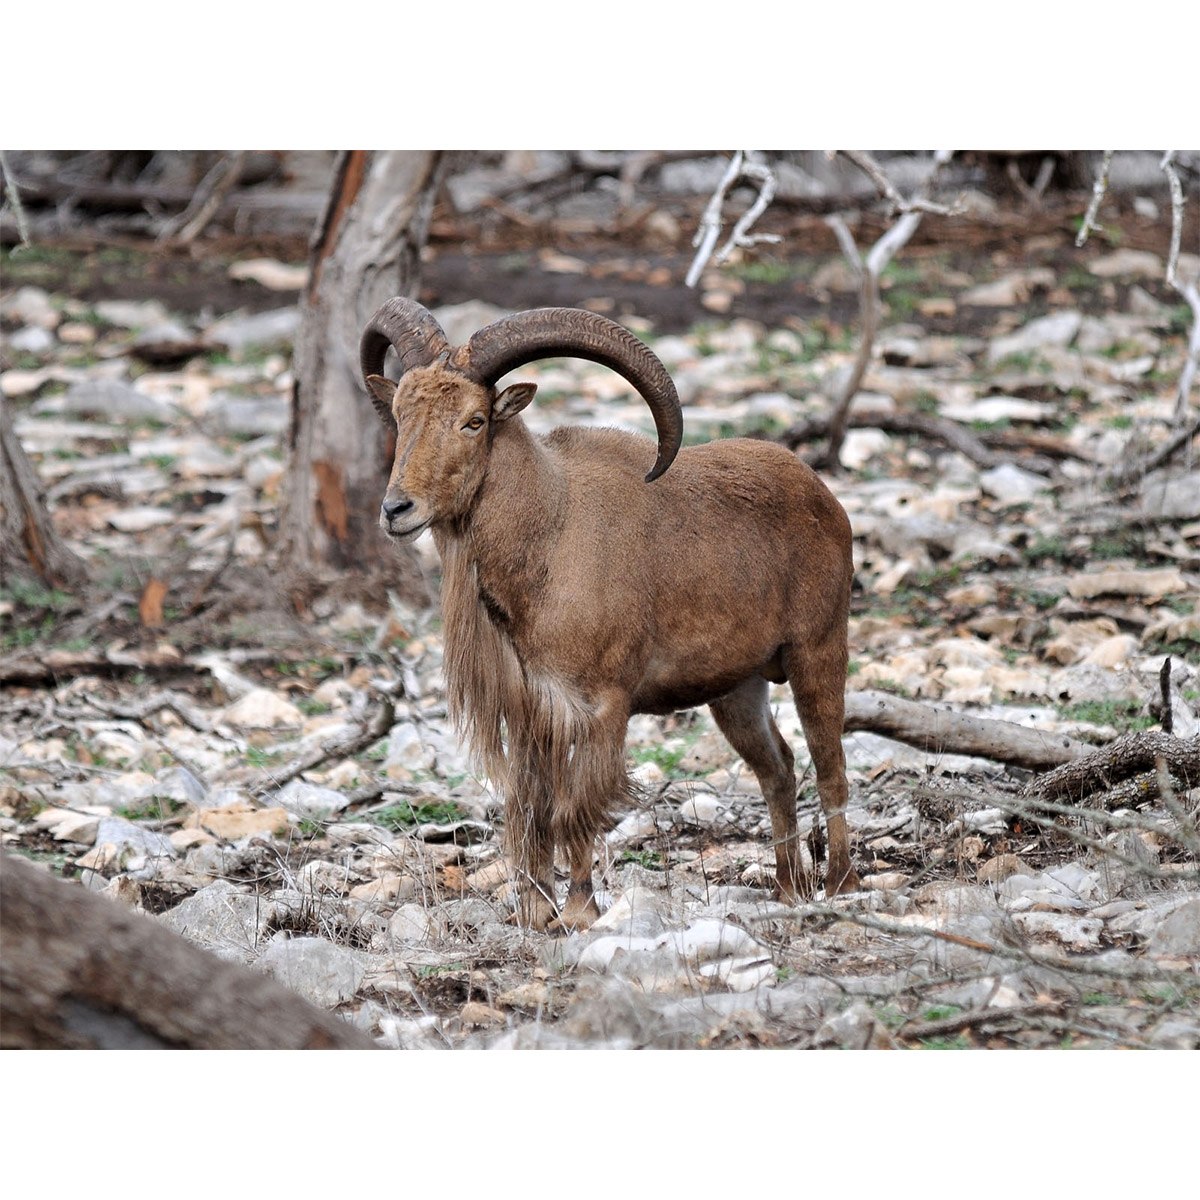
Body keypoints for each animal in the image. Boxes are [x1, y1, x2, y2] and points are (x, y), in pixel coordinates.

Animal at [360, 297, 859, 926]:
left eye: (473, 421)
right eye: (401, 415)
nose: (396, 509)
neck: (548, 534)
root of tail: (824, 497)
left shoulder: (601, 707)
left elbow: (575, 808)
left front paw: (577, 910)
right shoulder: (531, 712)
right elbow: (529, 807)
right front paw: (534, 910)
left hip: (818, 649)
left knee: (830, 767)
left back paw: (839, 883)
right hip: (737, 689)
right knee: (779, 768)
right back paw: (790, 888)